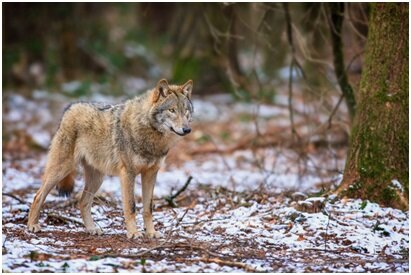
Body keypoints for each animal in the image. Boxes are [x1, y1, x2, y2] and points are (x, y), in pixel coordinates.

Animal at [27, 78, 195, 238]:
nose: (187, 129)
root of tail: (70, 106)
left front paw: (151, 233)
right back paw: (32, 226)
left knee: (82, 202)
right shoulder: (128, 173)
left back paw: (92, 229)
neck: (150, 134)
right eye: (172, 110)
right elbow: (131, 206)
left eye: (186, 111)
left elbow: (148, 208)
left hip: (97, 179)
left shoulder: (151, 174)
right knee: (38, 196)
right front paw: (133, 233)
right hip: (62, 170)